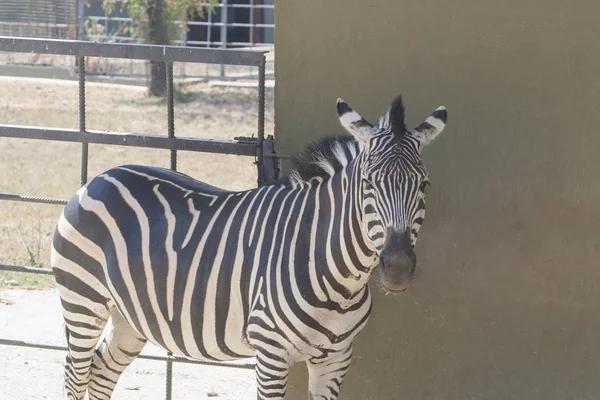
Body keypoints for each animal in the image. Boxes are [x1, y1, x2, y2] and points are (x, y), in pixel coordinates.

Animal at [51, 92, 446, 398]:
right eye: (368, 183)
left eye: (424, 185)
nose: (397, 268)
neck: (340, 280)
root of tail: (100, 177)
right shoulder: (270, 352)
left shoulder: (337, 357)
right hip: (83, 299)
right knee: (75, 375)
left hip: (130, 316)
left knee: (101, 373)